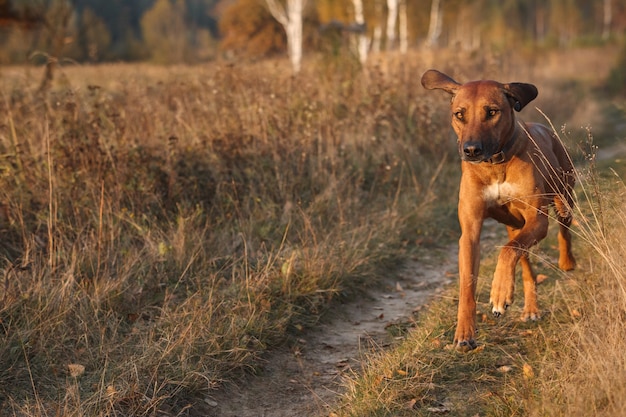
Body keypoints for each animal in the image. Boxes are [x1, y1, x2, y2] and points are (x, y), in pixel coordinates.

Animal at [420, 70, 576, 350]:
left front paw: (499, 292)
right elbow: (468, 283)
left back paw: (567, 262)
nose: (471, 150)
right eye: (459, 114)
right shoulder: (470, 232)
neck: (494, 164)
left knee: (563, 231)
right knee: (525, 263)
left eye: (492, 111)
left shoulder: (537, 220)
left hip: (563, 196)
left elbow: (507, 251)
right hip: (515, 226)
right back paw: (530, 308)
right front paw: (464, 332)